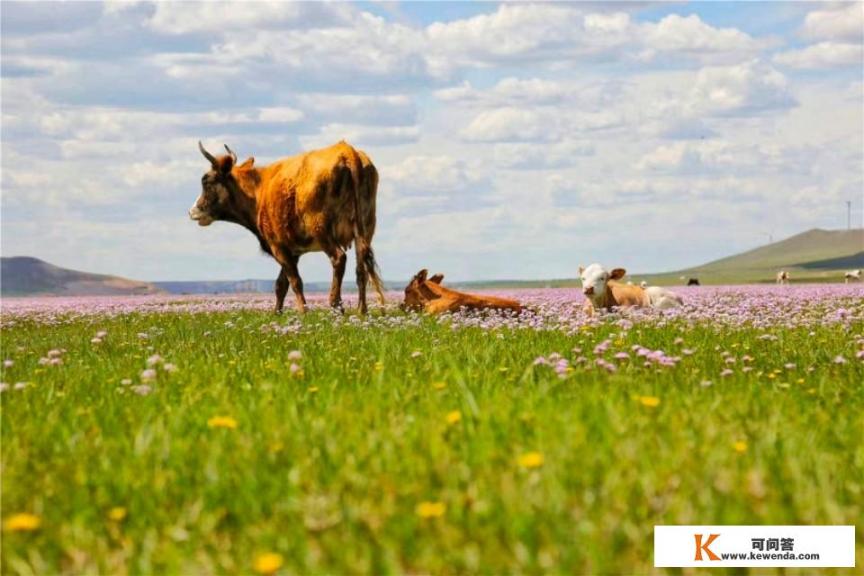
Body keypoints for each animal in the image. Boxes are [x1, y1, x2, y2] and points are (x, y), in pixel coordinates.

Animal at [194, 141, 386, 316]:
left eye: (206, 180)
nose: (193, 210)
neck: (259, 192)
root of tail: (347, 151)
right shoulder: (293, 251)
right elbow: (281, 284)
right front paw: (277, 312)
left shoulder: (278, 246)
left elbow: (294, 280)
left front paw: (303, 311)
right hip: (366, 227)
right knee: (361, 267)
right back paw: (362, 310)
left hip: (322, 230)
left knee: (339, 258)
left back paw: (336, 305)